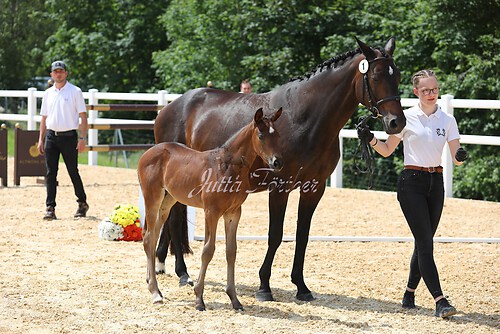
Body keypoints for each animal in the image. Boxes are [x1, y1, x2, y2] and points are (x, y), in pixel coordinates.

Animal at [139, 107, 284, 310]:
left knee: (151, 238)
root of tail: (149, 152)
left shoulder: (233, 213)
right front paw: (199, 298)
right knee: (148, 238)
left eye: (277, 134)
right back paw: (154, 292)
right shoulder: (211, 212)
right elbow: (208, 250)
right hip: (152, 198)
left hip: (167, 202)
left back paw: (155, 287)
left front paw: (234, 299)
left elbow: (231, 251)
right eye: (261, 135)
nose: (277, 162)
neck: (227, 166)